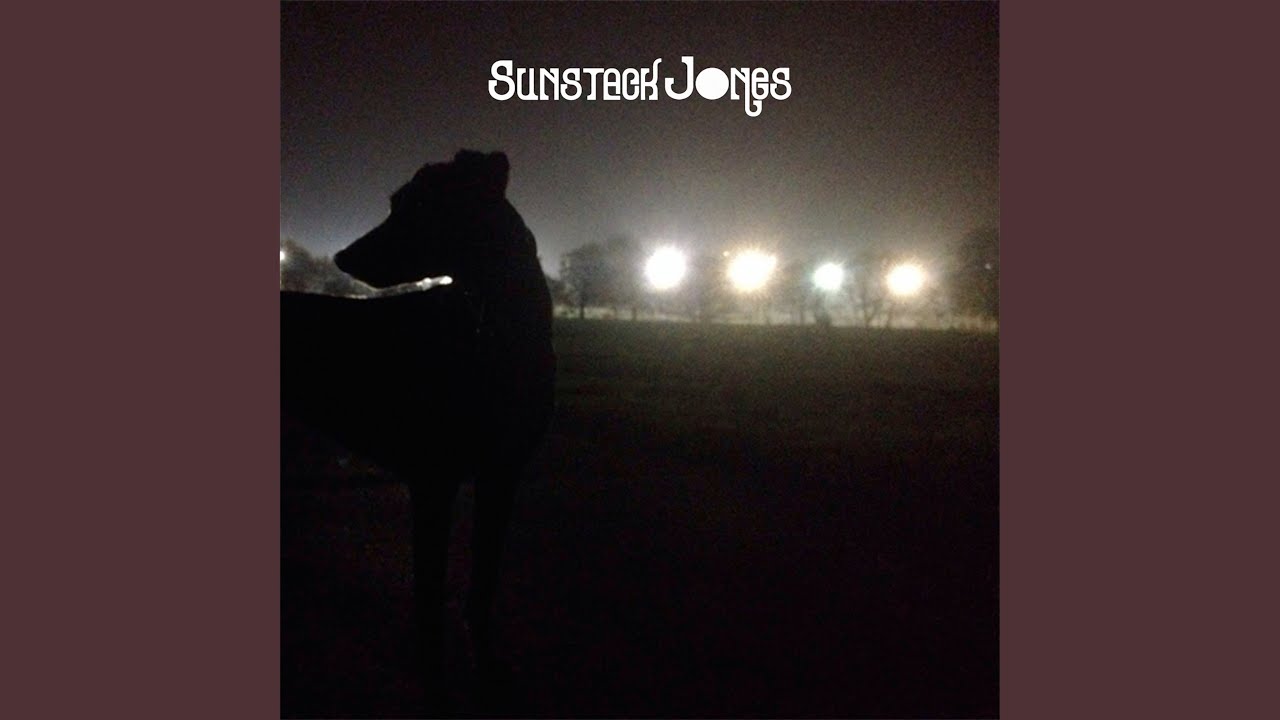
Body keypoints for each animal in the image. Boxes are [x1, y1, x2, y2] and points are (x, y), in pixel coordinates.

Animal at [281, 150, 556, 695]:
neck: (488, 327)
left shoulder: (501, 476)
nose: (340, 258)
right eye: (396, 202)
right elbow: (429, 592)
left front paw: (485, 664)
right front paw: (432, 673)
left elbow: (482, 584)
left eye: (423, 205)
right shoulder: (433, 480)